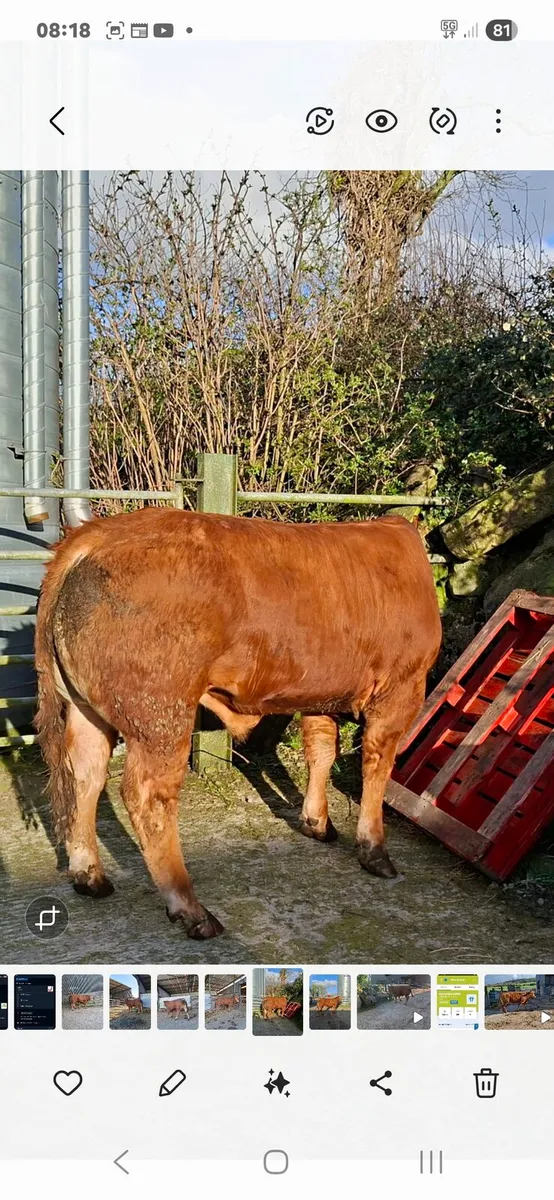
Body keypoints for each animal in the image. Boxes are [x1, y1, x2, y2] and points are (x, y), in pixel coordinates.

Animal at [34, 508, 441, 939]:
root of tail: (96, 534)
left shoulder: (320, 694)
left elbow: (321, 750)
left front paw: (318, 823)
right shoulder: (402, 688)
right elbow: (377, 767)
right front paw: (374, 850)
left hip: (85, 708)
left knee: (85, 775)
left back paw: (89, 876)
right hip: (161, 712)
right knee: (147, 795)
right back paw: (191, 909)